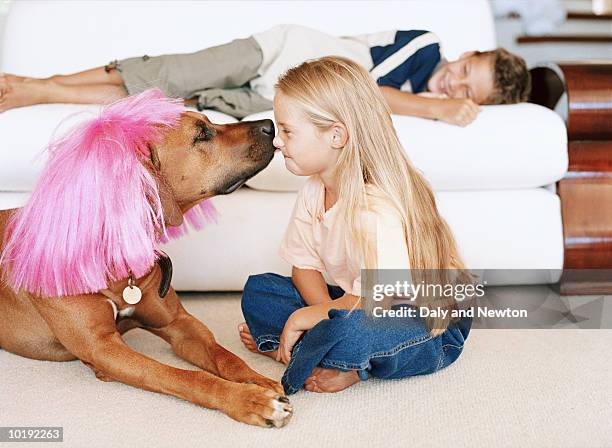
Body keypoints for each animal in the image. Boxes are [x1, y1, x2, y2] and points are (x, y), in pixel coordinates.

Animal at [0, 89, 294, 428]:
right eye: (201, 134)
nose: (270, 124)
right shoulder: (103, 348)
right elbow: (185, 377)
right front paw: (248, 399)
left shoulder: (181, 323)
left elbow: (224, 355)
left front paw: (256, 380)